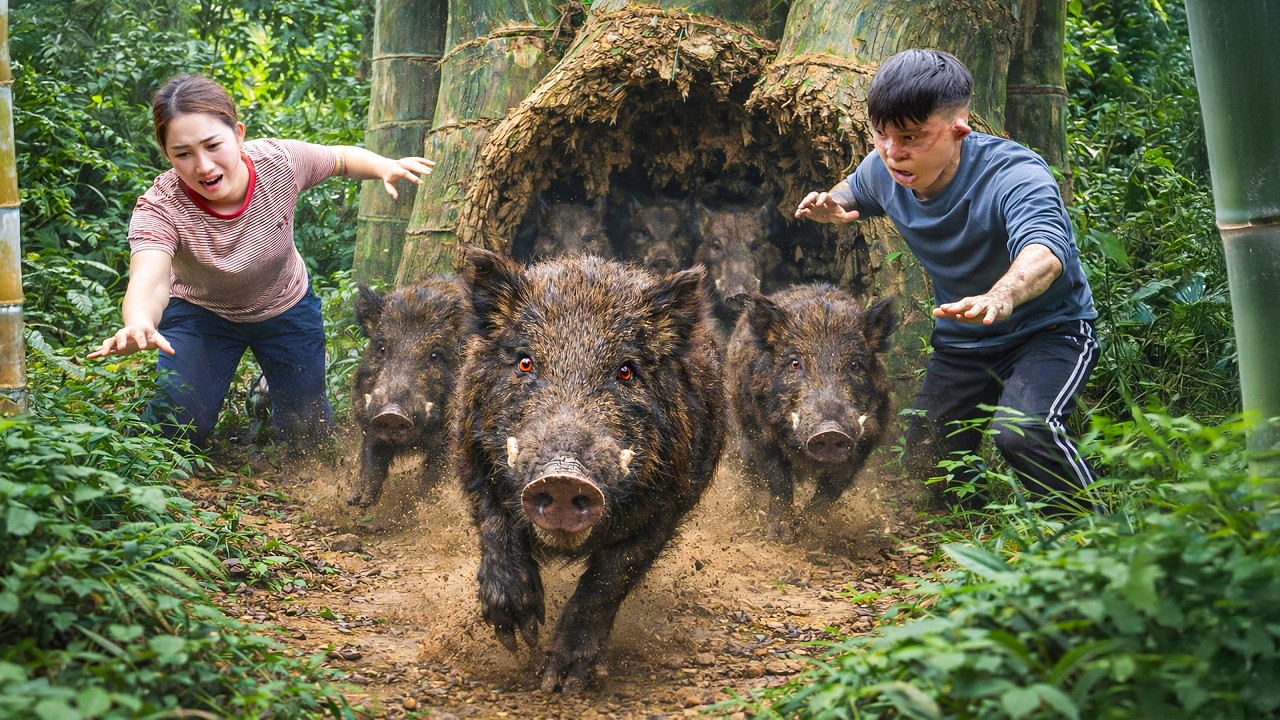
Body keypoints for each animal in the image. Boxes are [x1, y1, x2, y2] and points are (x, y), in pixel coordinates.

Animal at [347, 277, 473, 507]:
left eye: (435, 355)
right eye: (381, 348)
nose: (392, 413)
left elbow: (433, 475)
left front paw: (422, 506)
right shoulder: (369, 417)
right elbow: (372, 453)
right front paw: (359, 501)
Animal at [452, 246, 726, 693]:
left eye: (625, 370)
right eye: (525, 362)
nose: (564, 475)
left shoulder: (669, 502)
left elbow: (609, 579)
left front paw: (562, 682)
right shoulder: (469, 456)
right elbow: (494, 522)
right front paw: (517, 634)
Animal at [726, 285, 897, 542]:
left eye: (855, 364)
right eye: (795, 363)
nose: (830, 432)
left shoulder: (865, 441)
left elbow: (832, 489)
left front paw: (810, 532)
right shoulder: (760, 433)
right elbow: (778, 481)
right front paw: (779, 538)